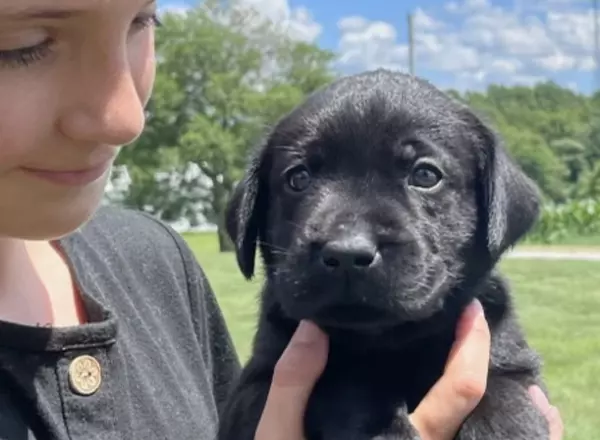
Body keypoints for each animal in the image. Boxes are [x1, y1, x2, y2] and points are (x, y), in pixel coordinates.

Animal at [219, 69, 548, 440]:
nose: (347, 253)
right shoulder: (255, 389)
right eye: (298, 178)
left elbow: (506, 395)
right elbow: (344, 383)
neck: (387, 342)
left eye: (425, 175)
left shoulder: (510, 358)